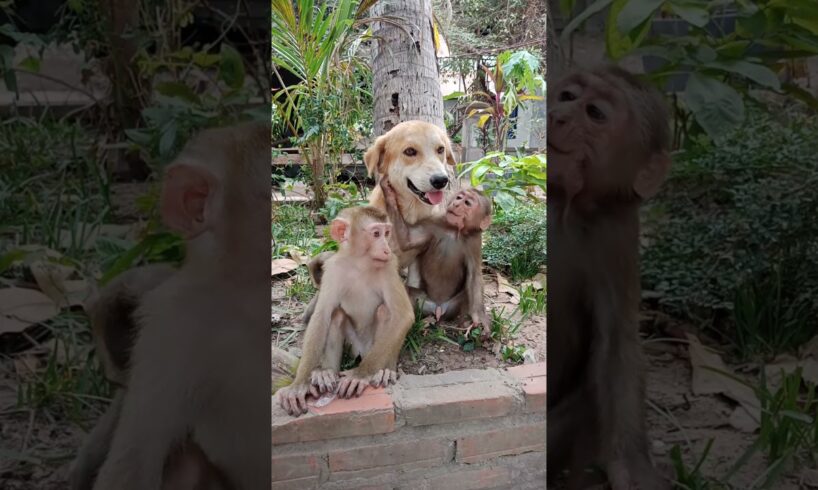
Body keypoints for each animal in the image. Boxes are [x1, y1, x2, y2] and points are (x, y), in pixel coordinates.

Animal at [276, 205, 414, 416]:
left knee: (385, 312)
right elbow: (322, 315)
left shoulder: (390, 266)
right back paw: (326, 373)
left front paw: (359, 375)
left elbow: (403, 316)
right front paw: (299, 385)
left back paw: (383, 370)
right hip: (352, 344)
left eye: (386, 233)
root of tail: (362, 351)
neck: (360, 263)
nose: (387, 248)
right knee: (336, 315)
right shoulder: (333, 269)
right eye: (376, 234)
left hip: (374, 347)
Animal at [380, 176, 488, 330]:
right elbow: (407, 240)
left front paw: (479, 318)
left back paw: (461, 324)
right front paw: (389, 193)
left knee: (466, 295)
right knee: (410, 294)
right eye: (459, 197)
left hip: (450, 307)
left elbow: (474, 276)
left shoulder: (474, 241)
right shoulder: (433, 222)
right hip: (425, 303)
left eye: (467, 203)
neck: (454, 231)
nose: (456, 204)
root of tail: (438, 307)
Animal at [544, 66, 672, 490]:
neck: (565, 208)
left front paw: (633, 468)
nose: (557, 115)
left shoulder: (617, 234)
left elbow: (616, 346)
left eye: (595, 113)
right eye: (567, 96)